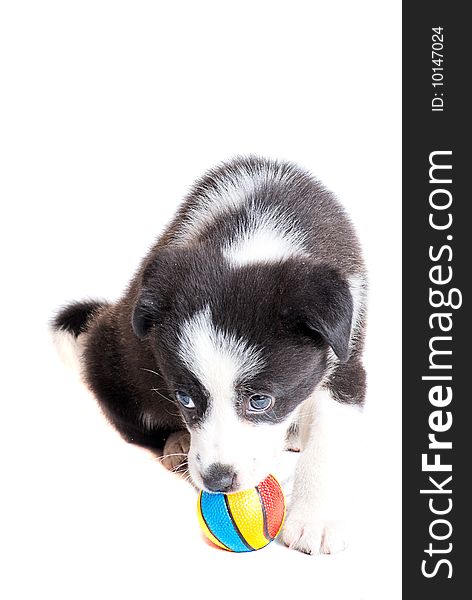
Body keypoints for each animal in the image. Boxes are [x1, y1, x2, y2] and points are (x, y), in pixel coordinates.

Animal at [53, 157, 366, 556]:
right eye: (185, 398)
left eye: (260, 400)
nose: (218, 480)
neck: (256, 235)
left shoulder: (346, 351)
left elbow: (329, 434)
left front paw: (316, 520)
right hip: (116, 361)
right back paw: (178, 443)